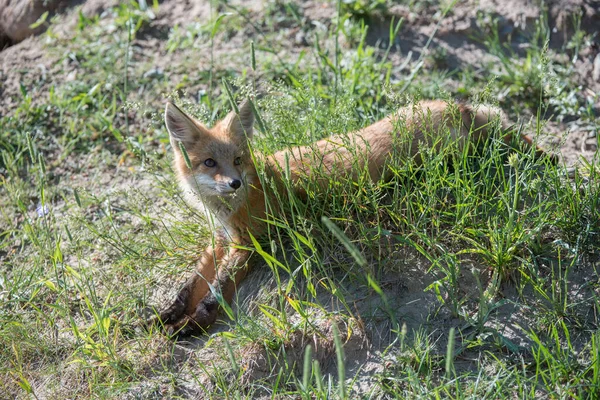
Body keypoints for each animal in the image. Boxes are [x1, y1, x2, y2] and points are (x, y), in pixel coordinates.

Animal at [152, 98, 552, 336]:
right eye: (209, 163)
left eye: (237, 159)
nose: (234, 182)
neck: (229, 208)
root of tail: (455, 104)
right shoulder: (221, 239)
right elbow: (191, 284)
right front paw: (169, 312)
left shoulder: (250, 245)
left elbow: (213, 293)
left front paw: (193, 323)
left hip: (454, 154)